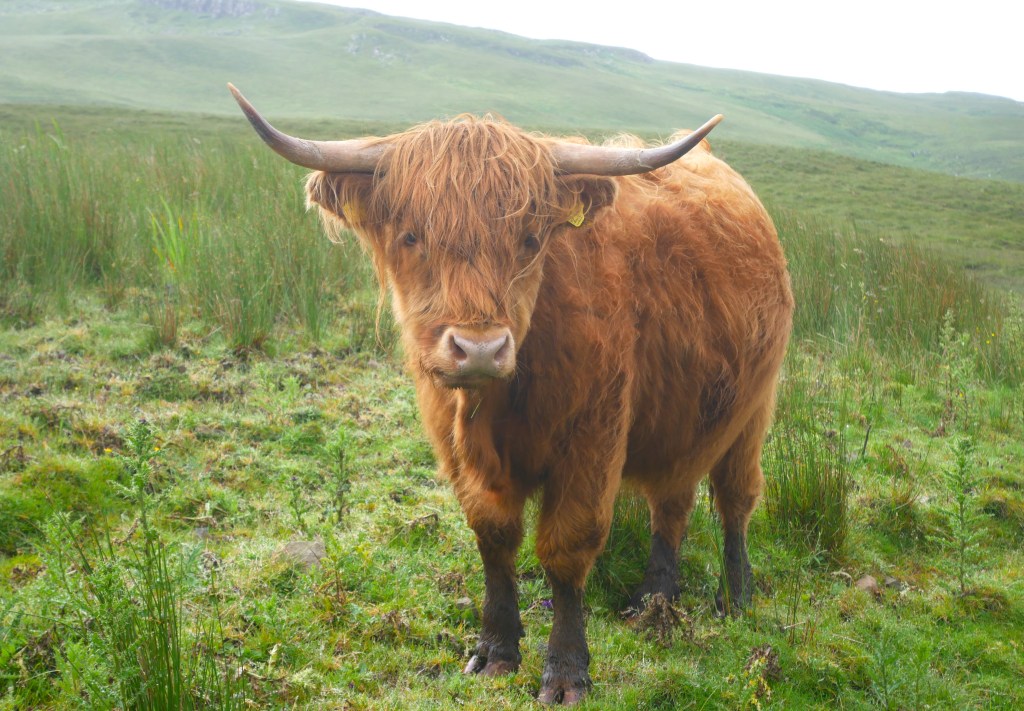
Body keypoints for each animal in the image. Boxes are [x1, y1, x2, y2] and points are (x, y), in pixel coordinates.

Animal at [228, 84, 794, 705]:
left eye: (529, 239)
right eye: (411, 236)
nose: (479, 349)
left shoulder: (594, 437)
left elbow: (567, 547)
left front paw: (566, 672)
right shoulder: (457, 449)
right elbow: (494, 538)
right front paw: (496, 650)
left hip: (753, 410)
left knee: (735, 499)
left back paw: (735, 599)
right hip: (686, 418)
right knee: (672, 501)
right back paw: (654, 601)